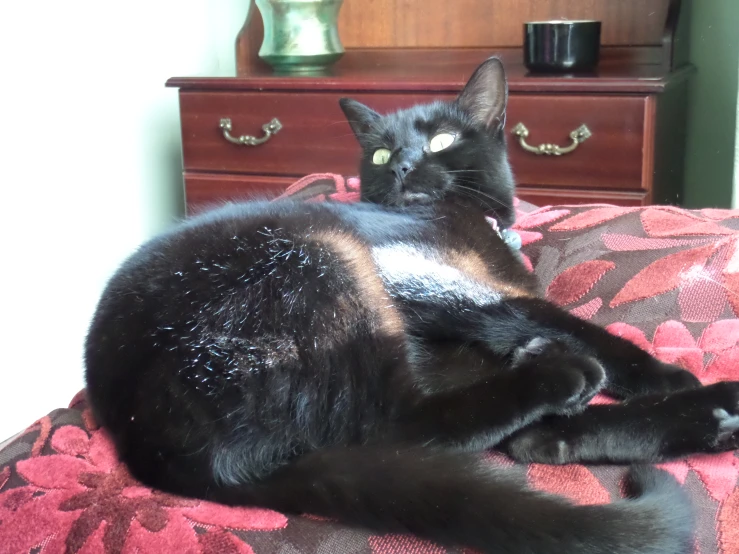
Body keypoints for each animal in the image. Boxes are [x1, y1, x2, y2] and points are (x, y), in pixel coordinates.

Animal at [84, 58, 739, 548]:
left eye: (443, 139)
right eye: (379, 154)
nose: (400, 163)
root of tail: (153, 447)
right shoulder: (414, 273)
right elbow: (553, 318)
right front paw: (662, 373)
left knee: (485, 432)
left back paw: (700, 418)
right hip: (323, 257)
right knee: (398, 420)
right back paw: (572, 376)